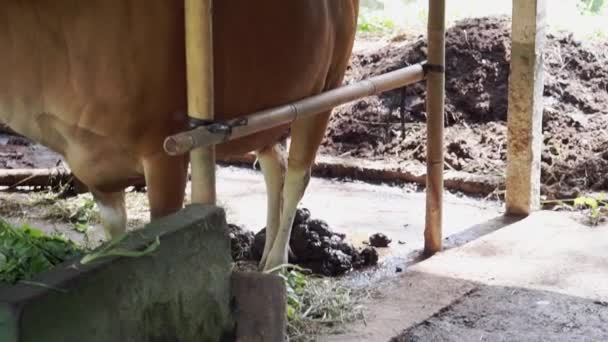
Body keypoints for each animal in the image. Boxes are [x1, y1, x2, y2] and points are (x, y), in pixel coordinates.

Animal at [0, 1, 358, 272]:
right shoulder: (91, 163)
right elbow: (116, 236)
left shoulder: (164, 152)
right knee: (275, 165)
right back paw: (265, 255)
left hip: (328, 85)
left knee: (298, 173)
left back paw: (275, 263)